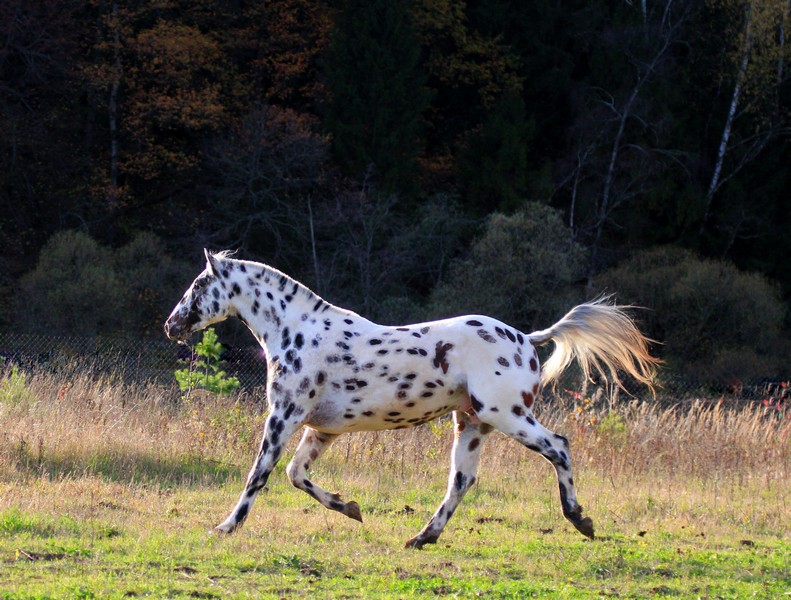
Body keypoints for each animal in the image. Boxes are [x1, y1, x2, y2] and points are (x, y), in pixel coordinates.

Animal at [164, 250, 660, 548]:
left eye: (198, 285)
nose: (171, 325)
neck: (298, 333)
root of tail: (526, 338)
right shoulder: (321, 429)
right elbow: (295, 475)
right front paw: (351, 509)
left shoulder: (284, 417)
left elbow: (260, 474)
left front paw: (226, 526)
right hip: (472, 423)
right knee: (461, 481)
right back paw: (422, 537)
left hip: (508, 415)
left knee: (558, 447)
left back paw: (579, 519)